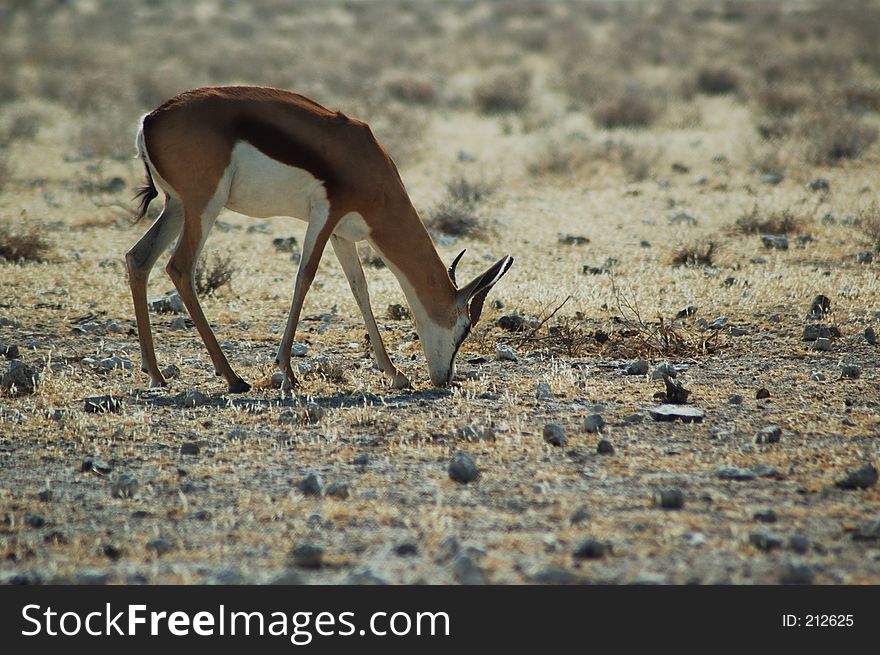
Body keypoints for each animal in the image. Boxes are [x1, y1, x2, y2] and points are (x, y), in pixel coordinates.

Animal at [123, 87, 508, 394]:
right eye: (464, 328)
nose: (445, 379)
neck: (366, 162)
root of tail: (149, 120)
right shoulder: (325, 214)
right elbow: (304, 278)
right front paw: (288, 373)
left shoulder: (343, 233)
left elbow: (360, 290)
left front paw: (396, 374)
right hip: (204, 206)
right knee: (180, 268)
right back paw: (233, 379)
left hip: (176, 207)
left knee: (138, 258)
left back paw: (157, 374)